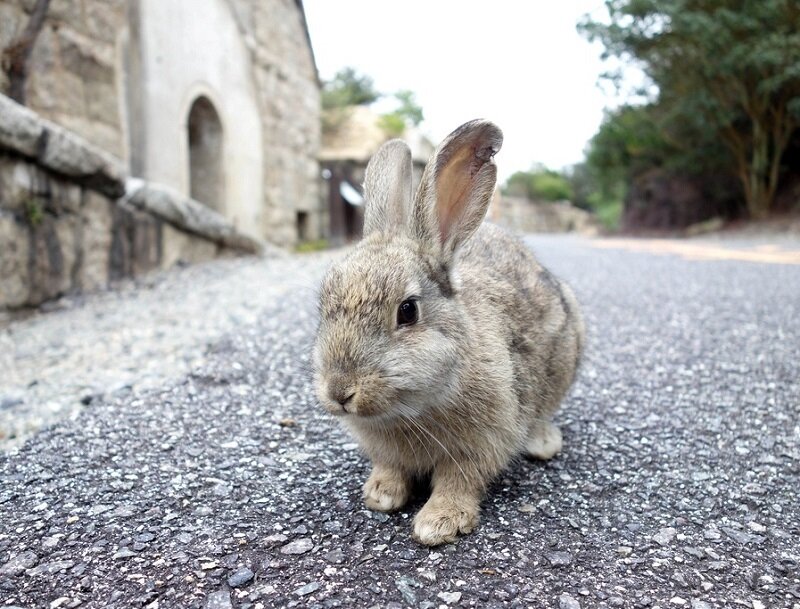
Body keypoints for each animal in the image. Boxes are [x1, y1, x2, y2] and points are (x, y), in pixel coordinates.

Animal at [314, 120, 588, 548]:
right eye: (323, 303)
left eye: (407, 311)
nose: (340, 392)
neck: (411, 410)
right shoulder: (386, 450)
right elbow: (390, 466)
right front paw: (381, 495)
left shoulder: (481, 443)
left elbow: (459, 480)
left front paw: (439, 523)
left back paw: (543, 443)